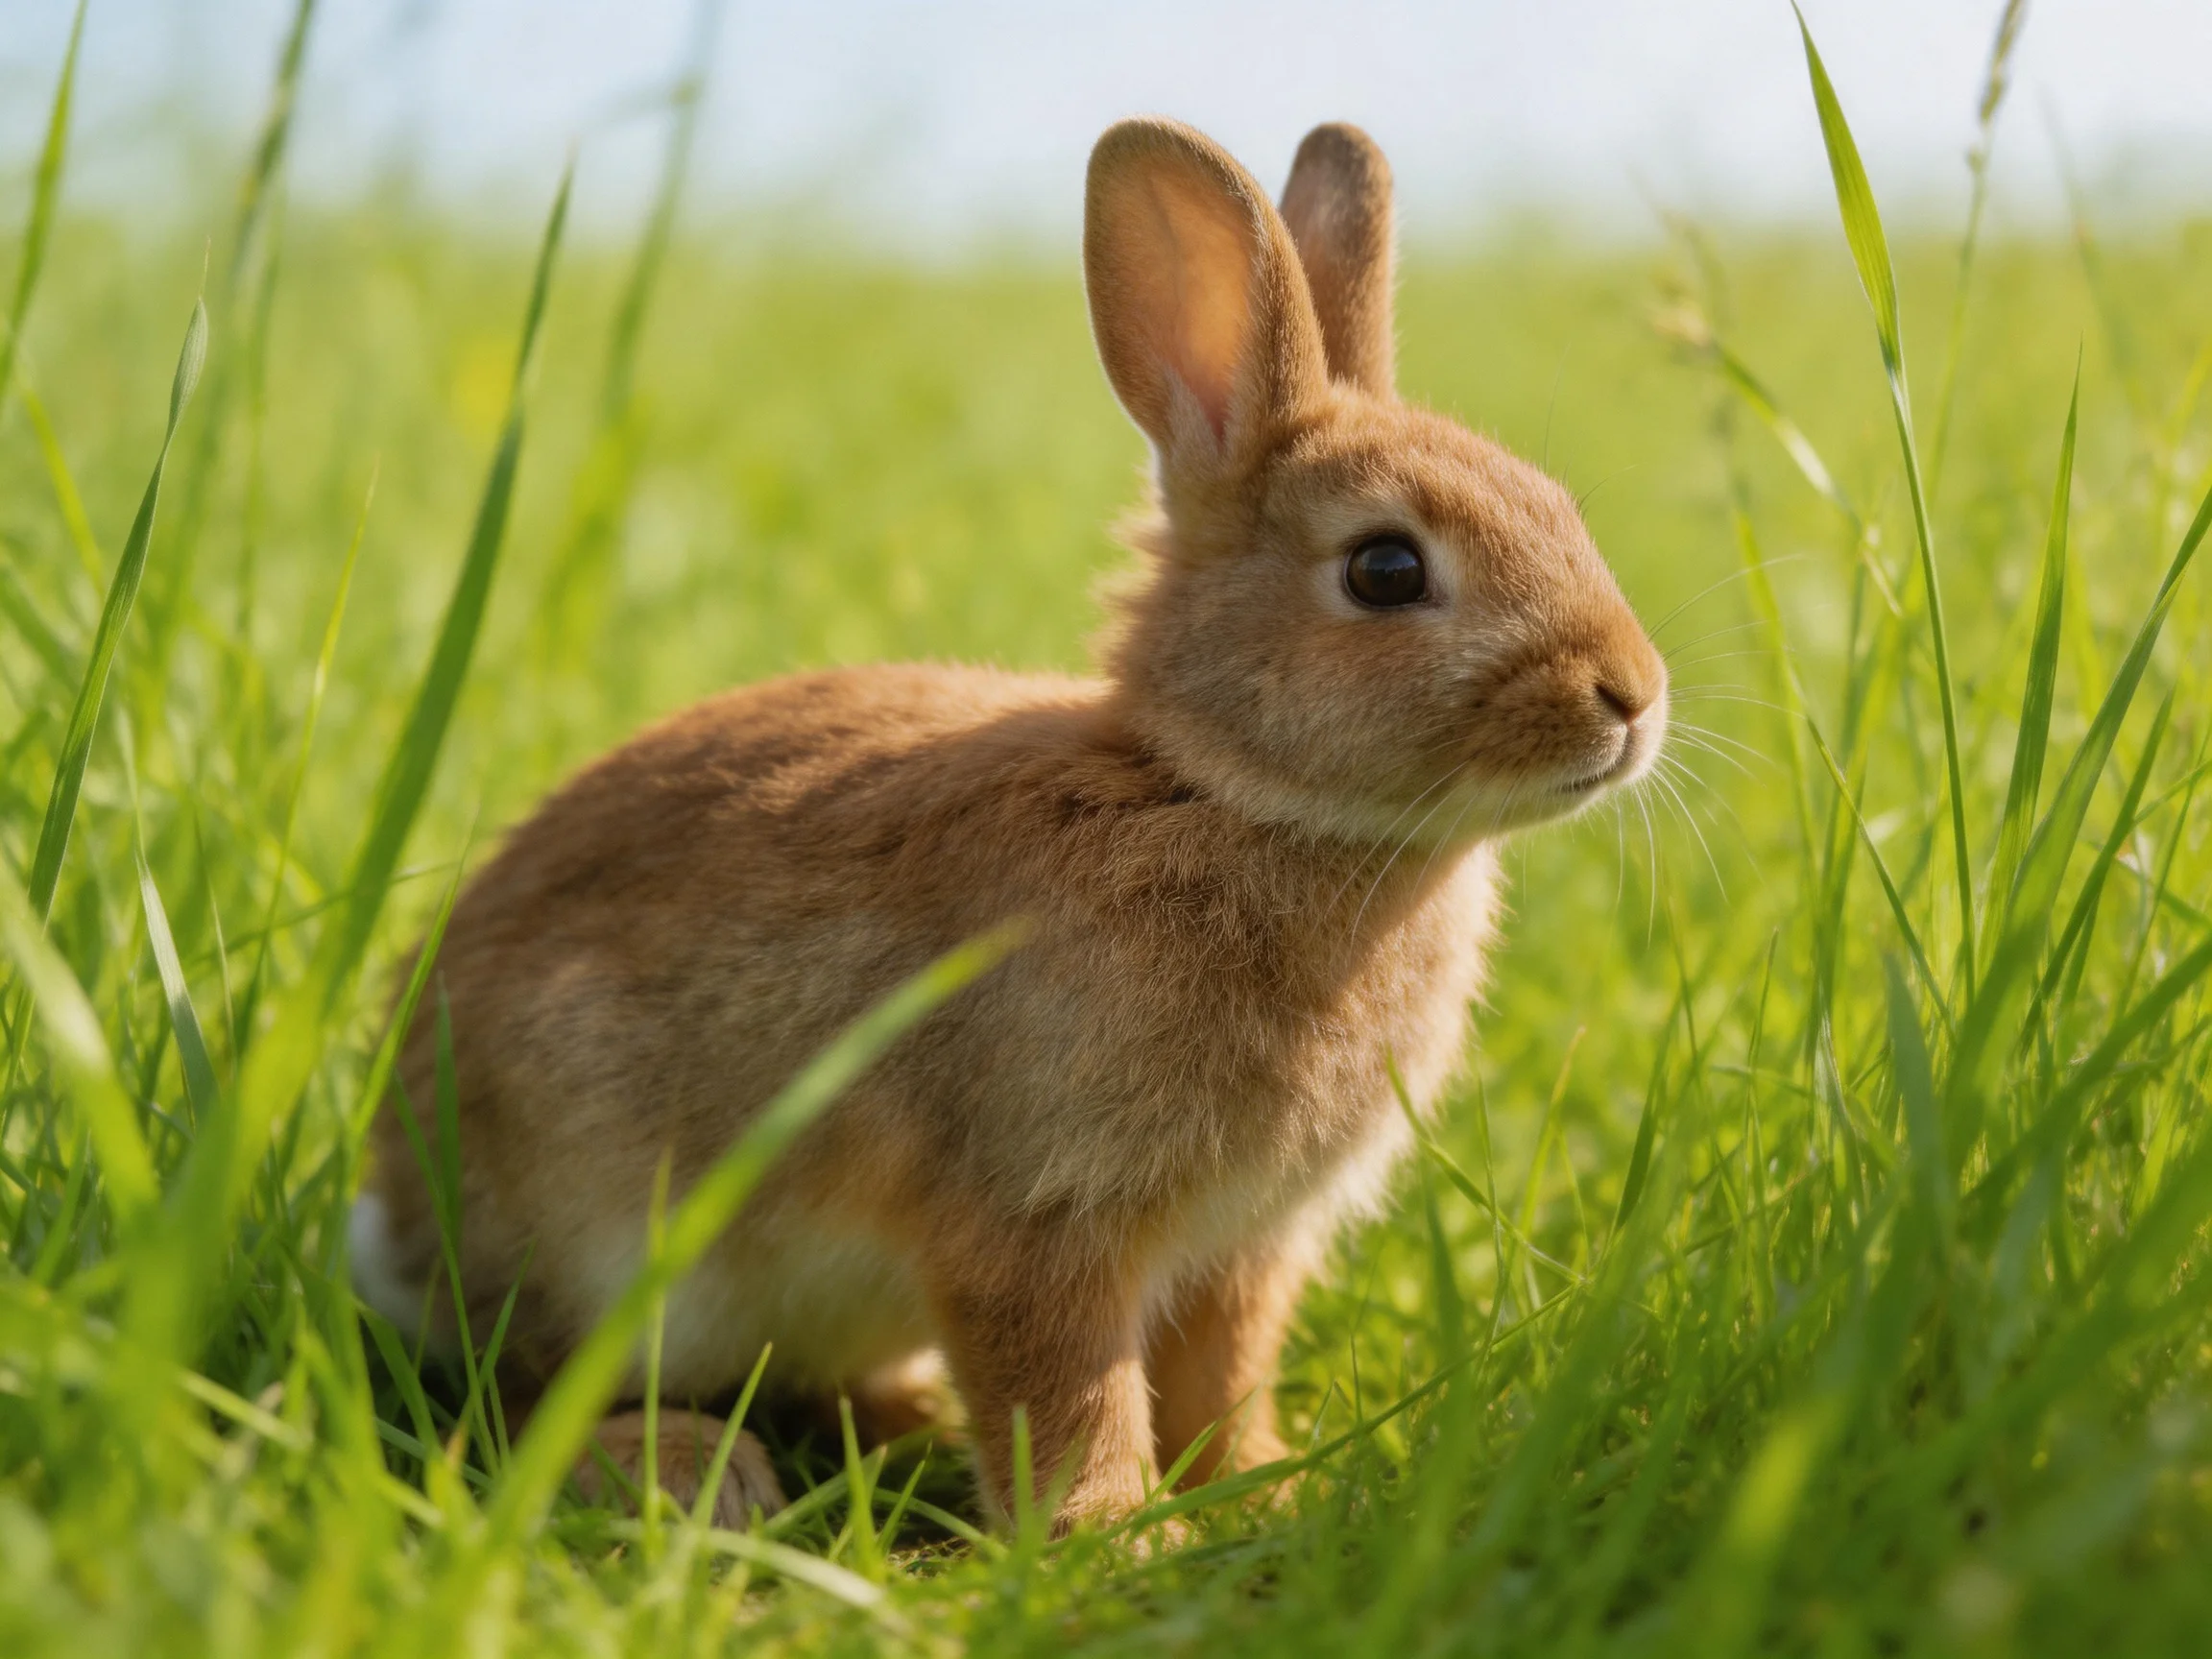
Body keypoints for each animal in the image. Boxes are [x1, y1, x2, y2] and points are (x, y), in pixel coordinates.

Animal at [349, 116, 1668, 1537]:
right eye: (1386, 569)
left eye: (1559, 507)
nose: (1632, 695)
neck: (1221, 794)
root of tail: (398, 1215)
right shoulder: (1036, 1215)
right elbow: (1070, 1399)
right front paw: (1112, 1543)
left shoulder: (1243, 1245)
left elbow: (1223, 1380)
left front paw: (1260, 1496)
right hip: (597, 1226)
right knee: (517, 1395)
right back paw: (689, 1470)